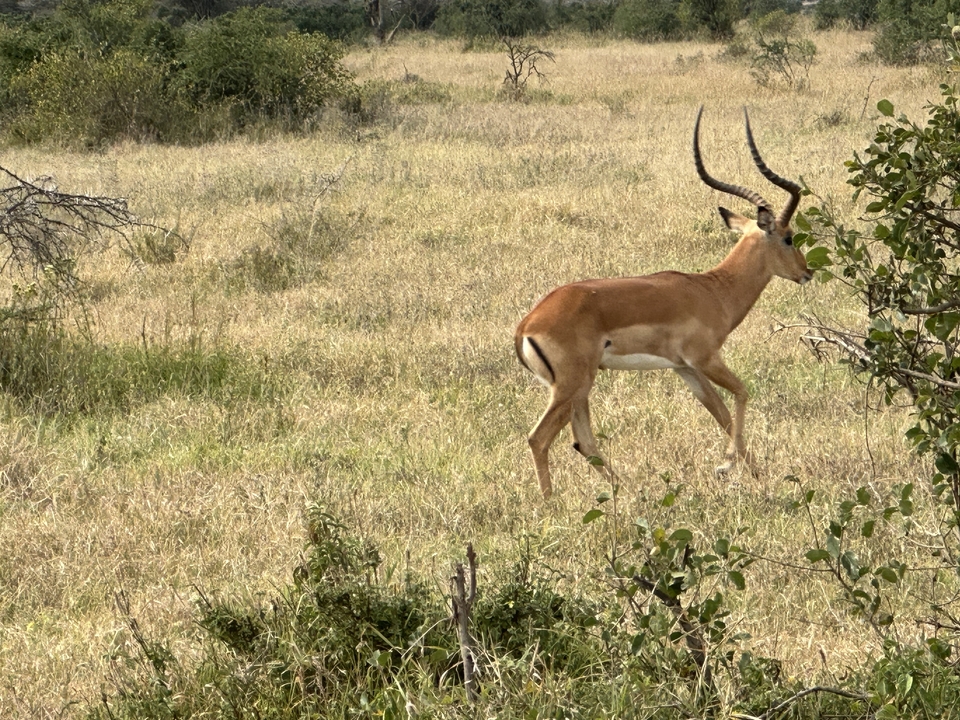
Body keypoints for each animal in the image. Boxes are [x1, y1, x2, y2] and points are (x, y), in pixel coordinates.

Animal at [515, 107, 811, 499]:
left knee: (583, 442)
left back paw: (628, 492)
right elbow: (742, 394)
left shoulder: (684, 369)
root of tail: (527, 325)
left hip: (578, 388)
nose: (807, 272)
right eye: (789, 238)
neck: (712, 290)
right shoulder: (706, 359)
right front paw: (726, 466)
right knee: (540, 438)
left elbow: (722, 414)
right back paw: (552, 504)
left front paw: (755, 473)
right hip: (572, 386)